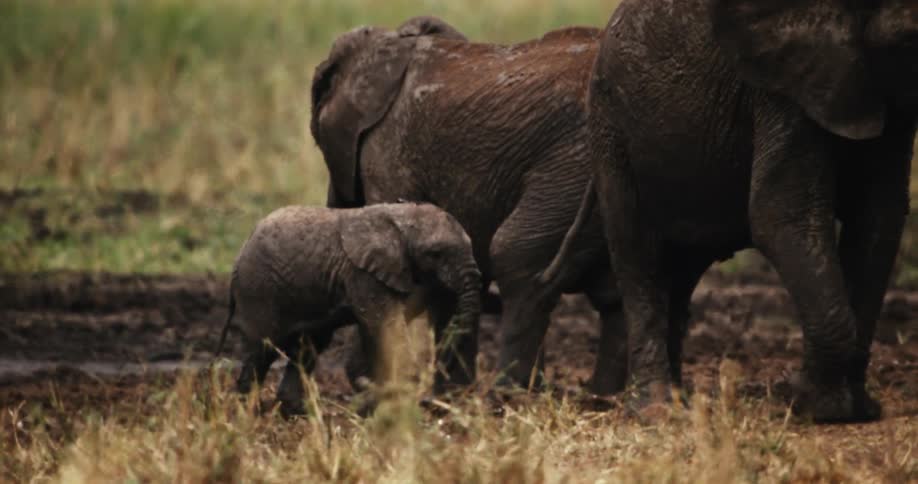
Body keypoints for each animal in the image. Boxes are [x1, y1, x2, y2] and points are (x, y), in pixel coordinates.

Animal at [214, 203, 481, 415]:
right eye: (436, 254)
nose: (431, 400)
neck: (403, 219)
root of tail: (238, 257)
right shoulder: (362, 274)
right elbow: (386, 325)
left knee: (306, 349)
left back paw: (298, 413)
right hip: (259, 289)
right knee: (264, 348)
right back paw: (248, 411)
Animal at [310, 16, 629, 394]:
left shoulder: (387, 152)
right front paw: (454, 392)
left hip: (574, 166)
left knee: (519, 260)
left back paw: (508, 393)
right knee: (614, 287)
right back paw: (601, 393)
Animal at [551, 0, 917, 421]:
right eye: (910, 40)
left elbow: (878, 219)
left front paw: (855, 407)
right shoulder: (780, 89)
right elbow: (781, 213)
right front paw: (810, 401)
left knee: (680, 271)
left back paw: (680, 400)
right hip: (612, 131)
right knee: (637, 251)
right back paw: (656, 410)